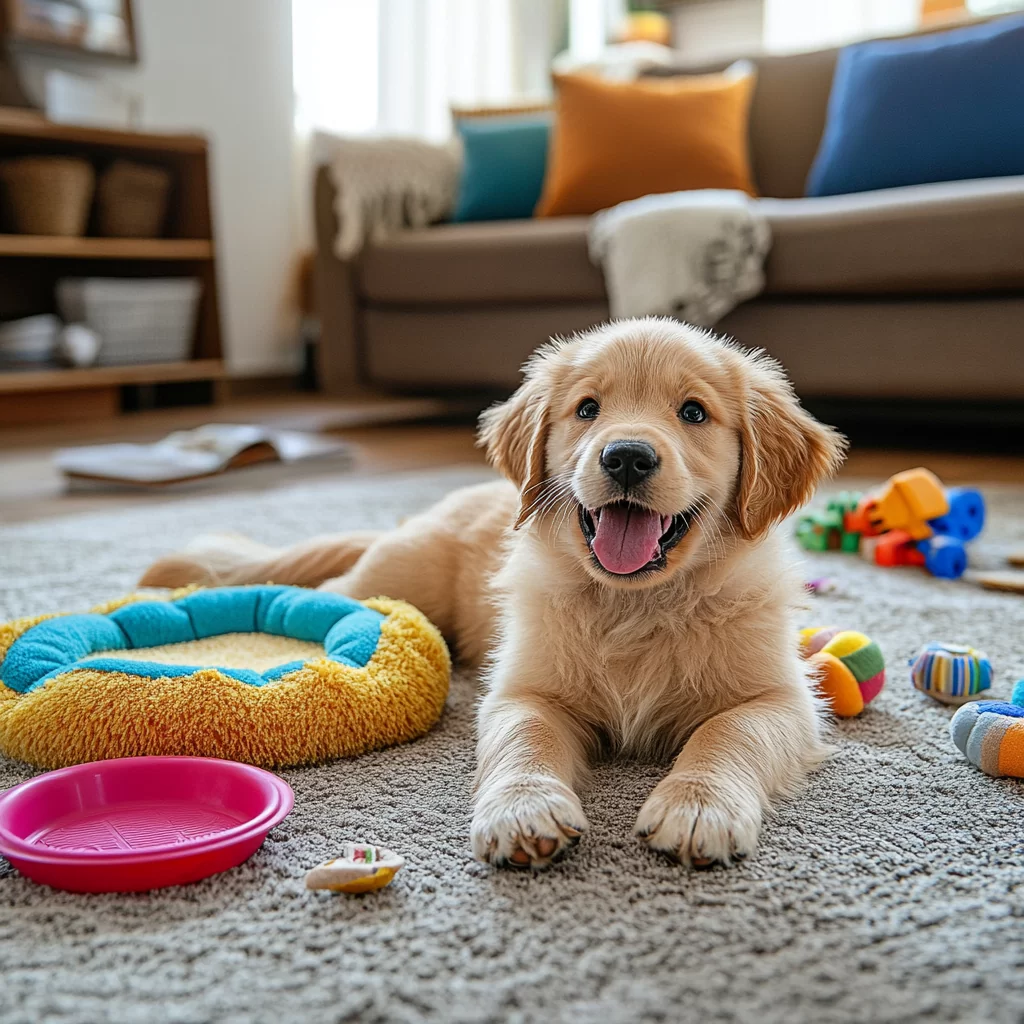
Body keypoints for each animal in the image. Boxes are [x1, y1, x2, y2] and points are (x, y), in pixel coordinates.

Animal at [144, 319, 847, 872]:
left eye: (694, 412)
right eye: (587, 408)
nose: (626, 456)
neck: (638, 603)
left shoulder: (779, 699)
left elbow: (729, 734)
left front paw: (698, 808)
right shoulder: (525, 687)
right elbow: (525, 737)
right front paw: (525, 810)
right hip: (390, 579)